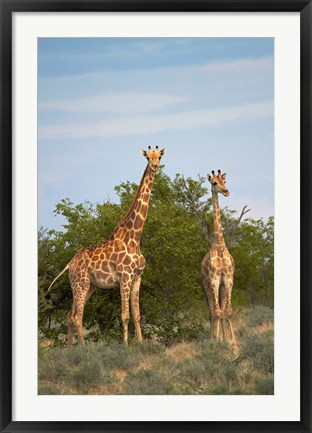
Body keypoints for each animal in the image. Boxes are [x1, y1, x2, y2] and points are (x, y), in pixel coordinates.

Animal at [48, 147, 166, 346]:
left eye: (160, 156)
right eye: (148, 157)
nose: (155, 166)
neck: (135, 238)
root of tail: (70, 264)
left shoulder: (137, 278)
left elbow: (137, 315)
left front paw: (141, 344)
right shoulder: (125, 278)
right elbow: (125, 316)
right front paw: (125, 346)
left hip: (88, 285)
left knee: (69, 315)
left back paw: (70, 348)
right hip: (80, 283)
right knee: (77, 316)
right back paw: (83, 348)